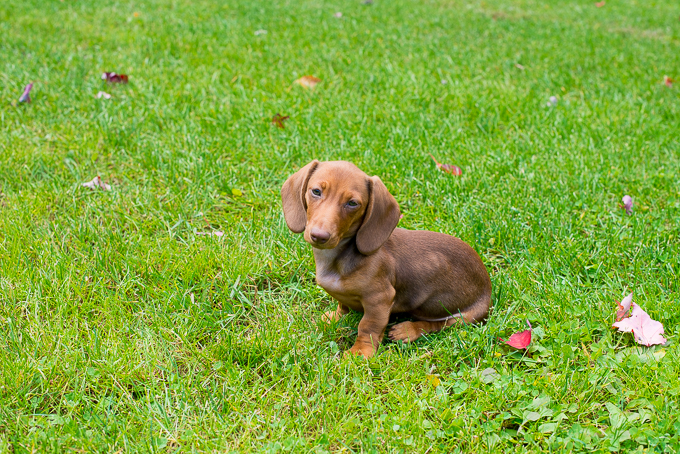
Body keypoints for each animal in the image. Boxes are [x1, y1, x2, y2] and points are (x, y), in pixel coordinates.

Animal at [278, 160, 492, 358]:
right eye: (316, 191)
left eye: (352, 203)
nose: (319, 236)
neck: (338, 257)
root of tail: (488, 285)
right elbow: (342, 305)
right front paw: (333, 317)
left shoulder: (379, 299)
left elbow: (368, 326)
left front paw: (360, 352)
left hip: (466, 317)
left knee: (440, 325)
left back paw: (408, 330)